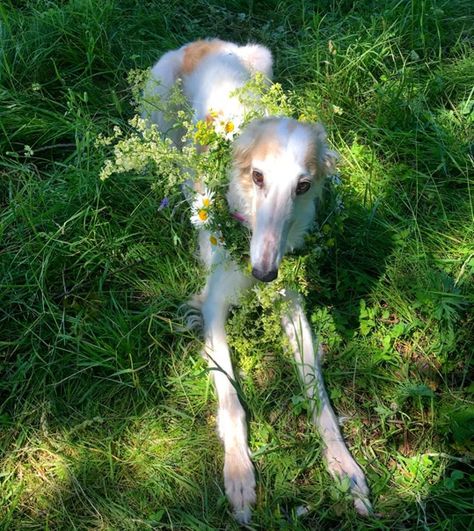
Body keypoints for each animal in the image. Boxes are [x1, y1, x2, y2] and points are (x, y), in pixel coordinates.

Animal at [143, 39, 372, 524]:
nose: (263, 273)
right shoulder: (212, 305)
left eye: (303, 186)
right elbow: (230, 400)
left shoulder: (292, 304)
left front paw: (344, 470)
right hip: (157, 98)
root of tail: (202, 43)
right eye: (257, 175)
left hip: (262, 59)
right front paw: (239, 477)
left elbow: (319, 398)